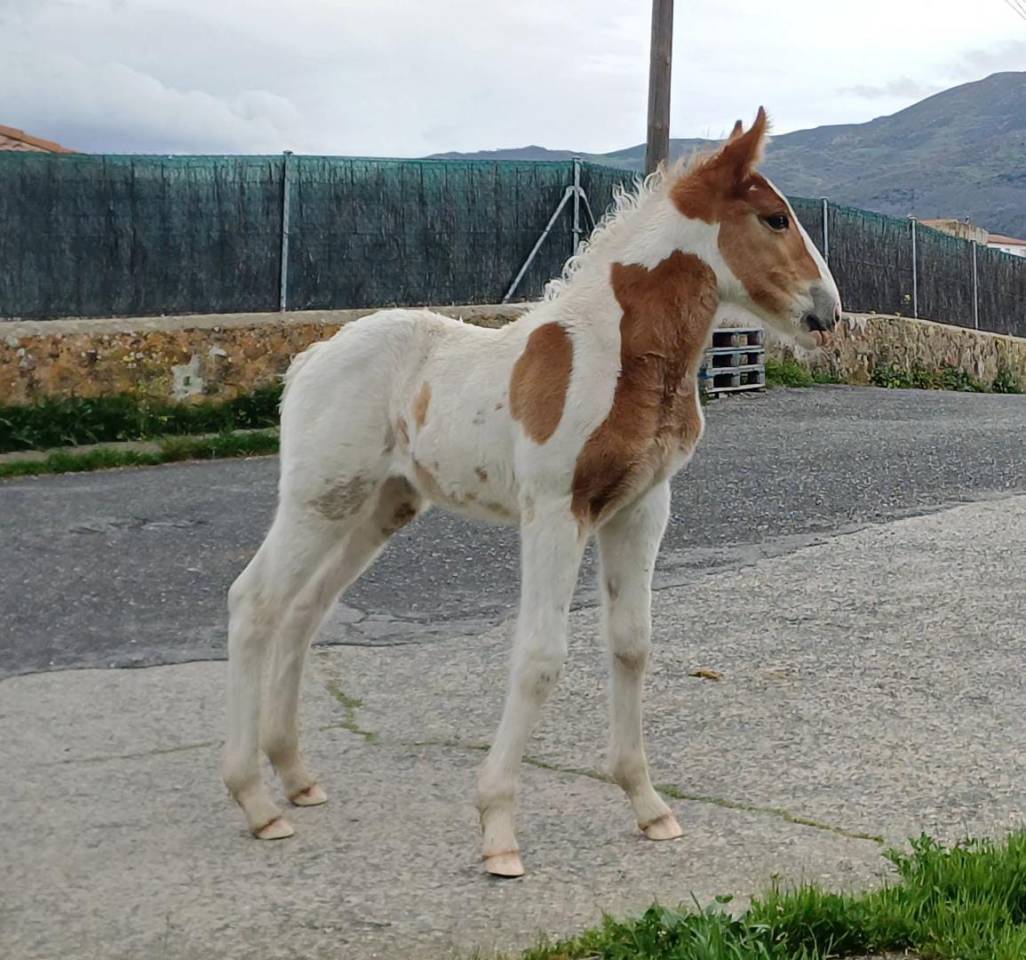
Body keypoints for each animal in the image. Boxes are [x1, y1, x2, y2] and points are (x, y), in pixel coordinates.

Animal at [222, 107, 842, 878]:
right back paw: (256, 800)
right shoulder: (554, 510)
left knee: (304, 611)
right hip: (318, 497)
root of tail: (309, 357)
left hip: (379, 506)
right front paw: (498, 829)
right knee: (255, 603)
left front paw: (648, 806)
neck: (619, 355)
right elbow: (541, 656)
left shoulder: (641, 509)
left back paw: (297, 775)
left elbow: (632, 644)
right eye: (775, 218)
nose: (829, 314)